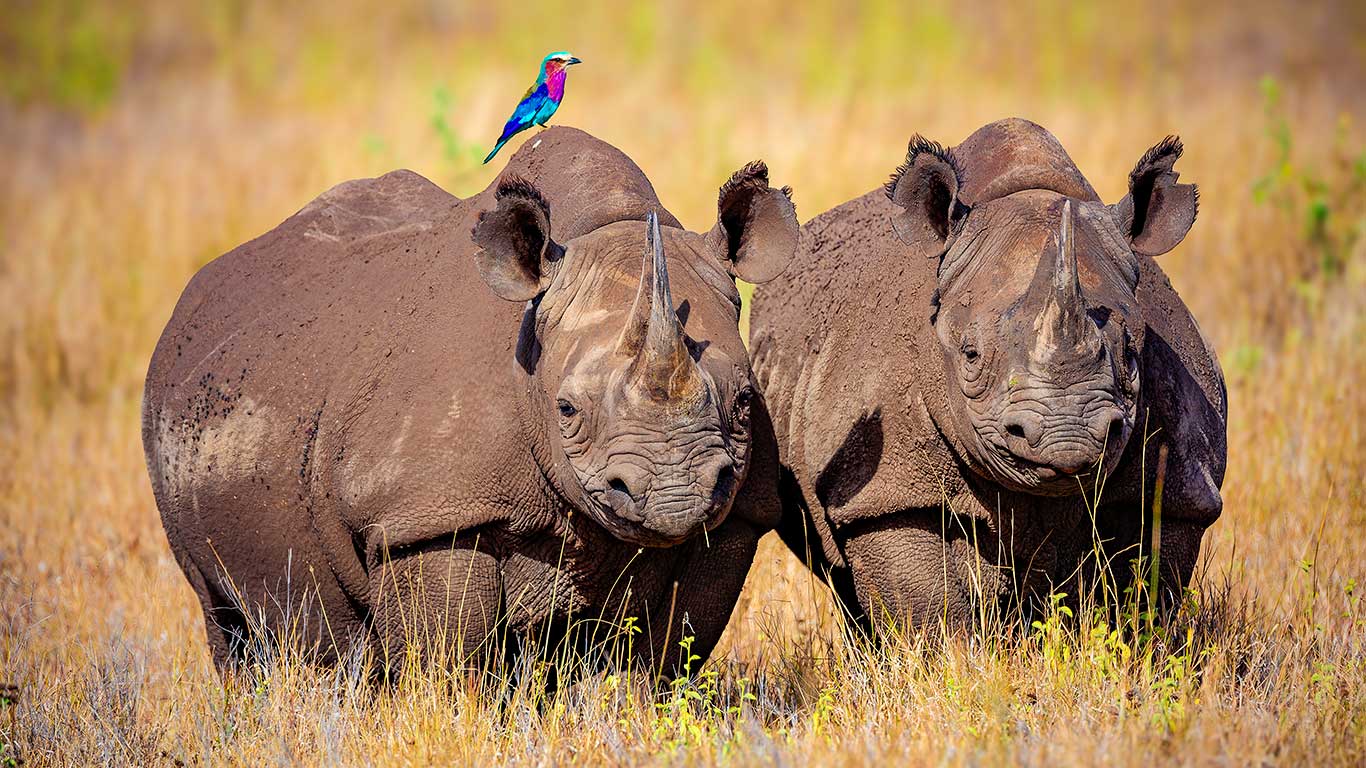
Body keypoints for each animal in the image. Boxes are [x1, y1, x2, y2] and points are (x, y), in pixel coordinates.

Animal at [143, 127, 798, 674]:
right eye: (567, 410)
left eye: (746, 400)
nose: (675, 495)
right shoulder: (426, 513)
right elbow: (449, 657)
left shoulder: (738, 510)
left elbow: (662, 654)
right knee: (223, 615)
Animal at [750, 118, 1226, 633]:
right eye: (971, 355)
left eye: (1133, 357)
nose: (1068, 437)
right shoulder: (883, 493)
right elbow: (926, 609)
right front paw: (945, 652)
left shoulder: (1180, 482)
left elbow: (1141, 595)